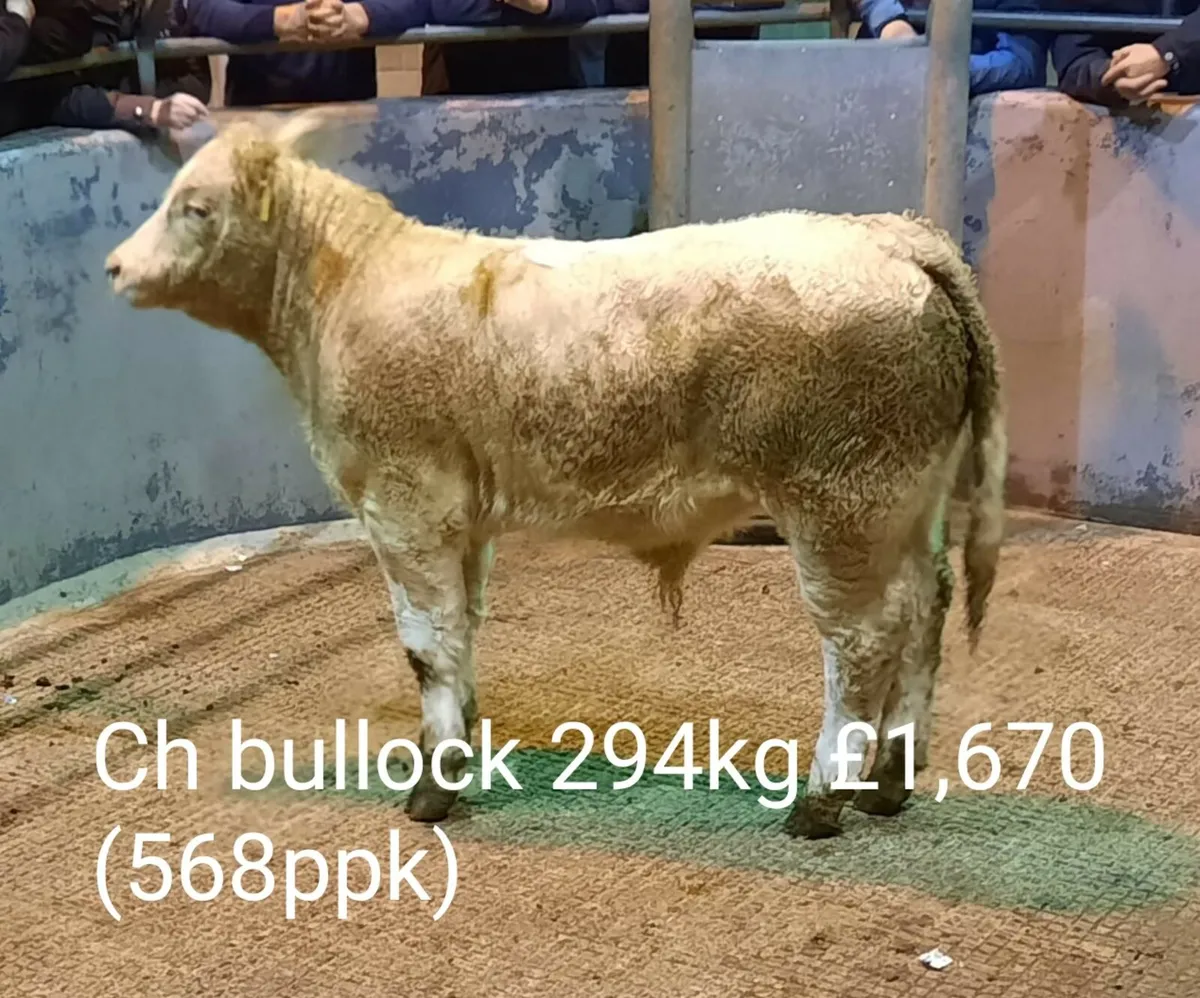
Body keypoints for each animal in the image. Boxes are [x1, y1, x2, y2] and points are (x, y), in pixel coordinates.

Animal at [104, 110, 1006, 840]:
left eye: (194, 206)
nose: (114, 267)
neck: (342, 290)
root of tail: (892, 236)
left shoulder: (403, 501)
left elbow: (426, 645)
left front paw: (431, 790)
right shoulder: (460, 518)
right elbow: (461, 632)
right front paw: (458, 755)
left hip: (839, 500)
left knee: (863, 640)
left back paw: (823, 799)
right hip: (904, 498)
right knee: (927, 608)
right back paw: (889, 780)